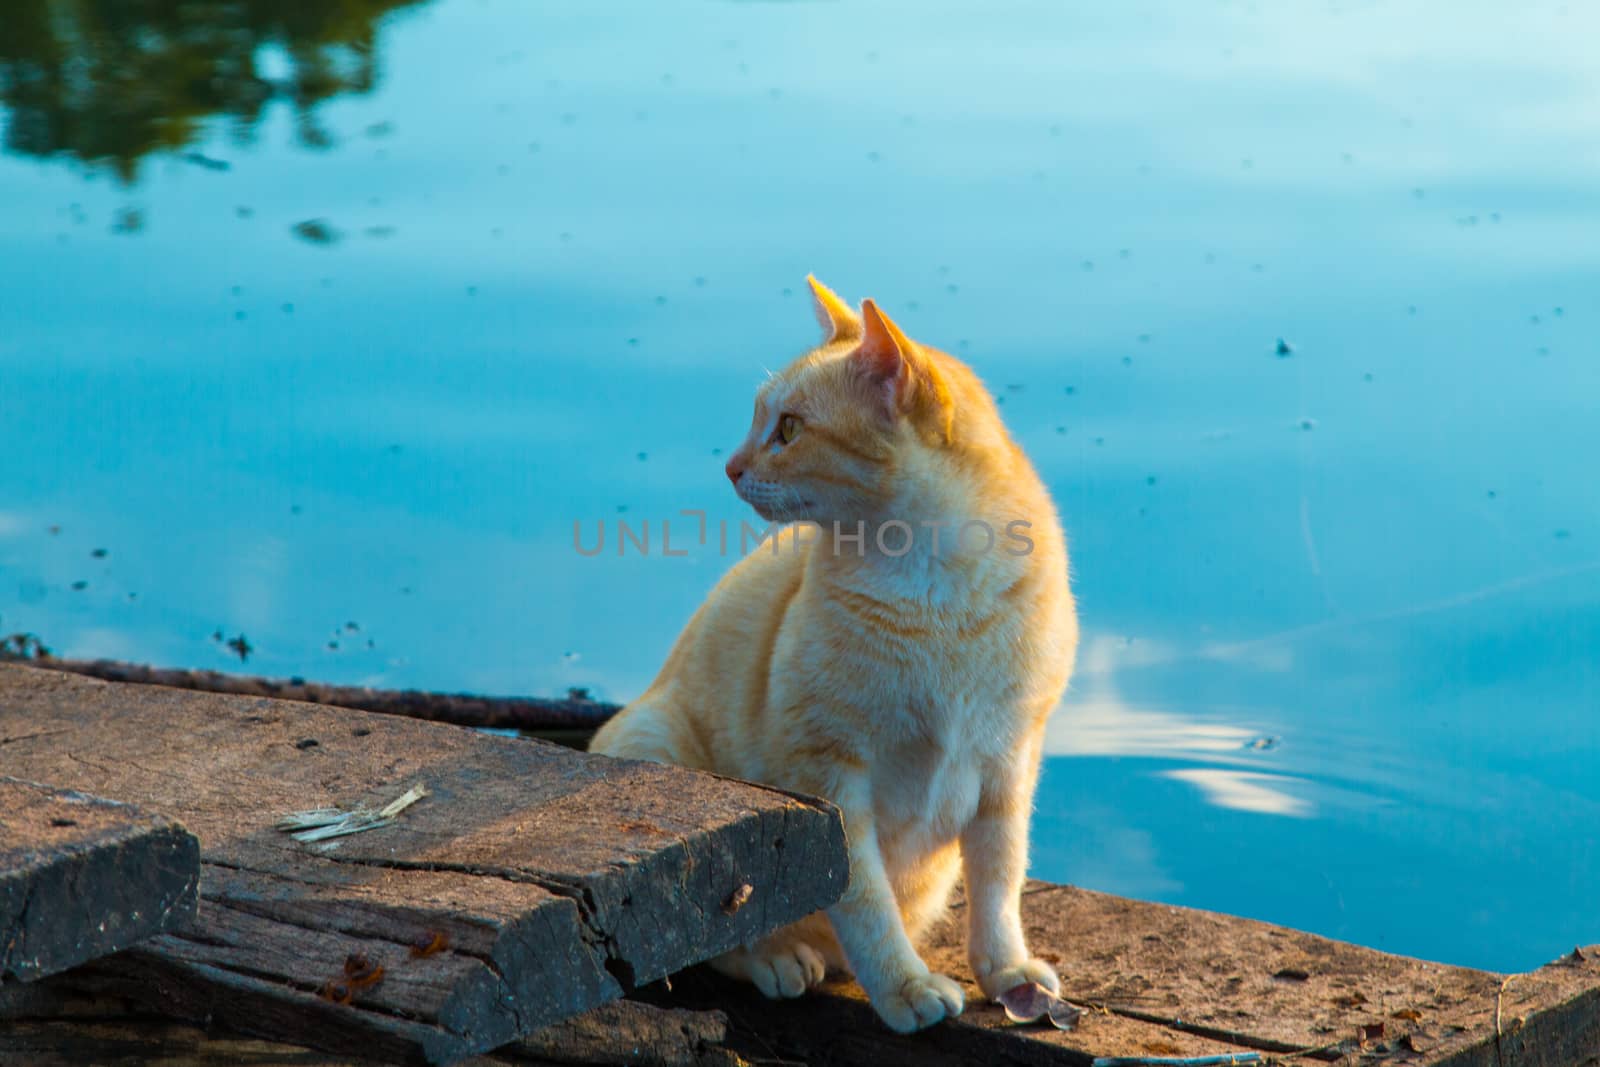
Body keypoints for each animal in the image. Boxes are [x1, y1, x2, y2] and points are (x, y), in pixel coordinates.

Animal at [588, 275, 1075, 1036]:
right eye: (761, 421)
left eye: (788, 428)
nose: (730, 467)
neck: (938, 588)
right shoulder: (830, 777)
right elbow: (864, 900)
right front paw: (904, 985)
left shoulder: (1010, 766)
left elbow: (999, 885)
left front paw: (1006, 972)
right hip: (658, 744)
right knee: (702, 933)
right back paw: (778, 957)